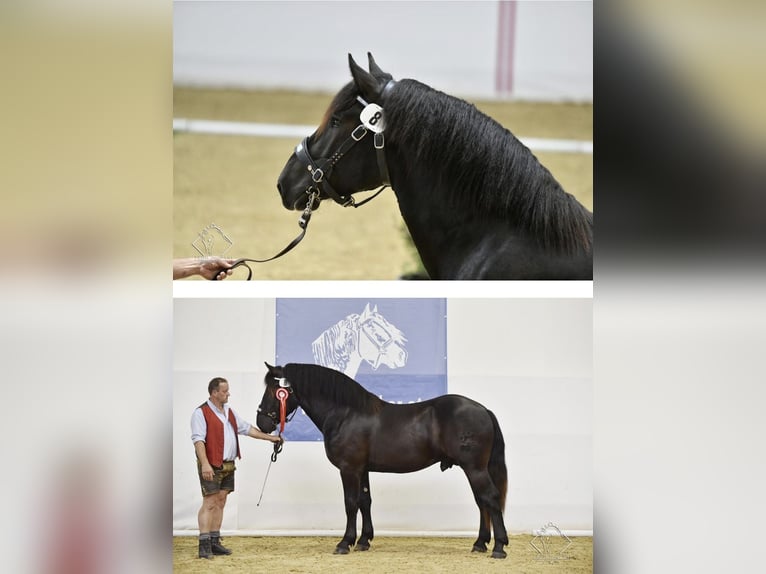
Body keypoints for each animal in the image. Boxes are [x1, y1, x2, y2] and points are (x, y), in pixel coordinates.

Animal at [257, 362, 509, 558]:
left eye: (274, 390)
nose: (262, 423)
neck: (346, 413)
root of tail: (483, 409)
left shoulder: (349, 469)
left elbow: (350, 503)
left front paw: (344, 543)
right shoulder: (362, 470)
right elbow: (365, 501)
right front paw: (363, 541)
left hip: (475, 468)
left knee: (490, 498)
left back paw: (499, 547)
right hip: (475, 469)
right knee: (481, 502)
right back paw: (480, 544)